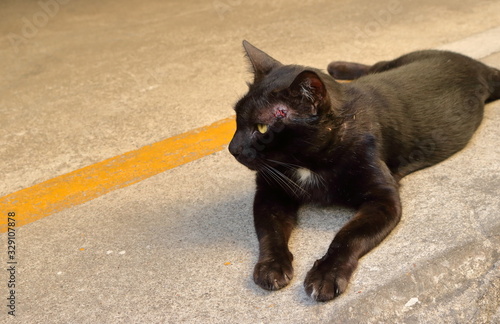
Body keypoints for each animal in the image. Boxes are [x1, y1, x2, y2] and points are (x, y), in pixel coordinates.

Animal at [229, 40, 498, 302]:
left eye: (261, 128)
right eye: (236, 119)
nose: (233, 148)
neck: (309, 163)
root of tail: (472, 63)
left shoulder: (383, 199)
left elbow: (348, 235)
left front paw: (326, 275)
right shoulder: (270, 191)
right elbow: (270, 231)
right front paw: (271, 267)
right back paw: (337, 66)